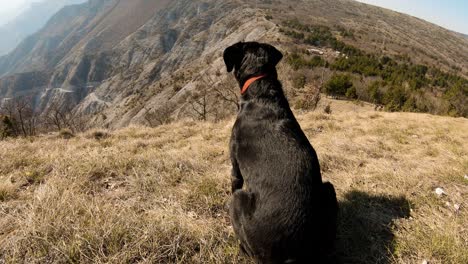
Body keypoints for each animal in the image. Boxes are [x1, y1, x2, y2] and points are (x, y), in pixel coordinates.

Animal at [225, 42, 338, 262]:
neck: (261, 89)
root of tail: (293, 254)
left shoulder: (235, 164)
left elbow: (234, 179)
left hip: (239, 202)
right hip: (329, 189)